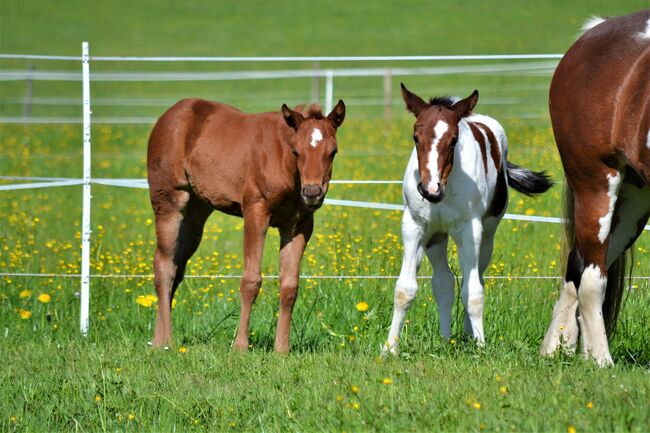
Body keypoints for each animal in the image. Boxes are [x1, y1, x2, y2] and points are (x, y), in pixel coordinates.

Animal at [147, 97, 344, 352]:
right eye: (296, 151)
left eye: (333, 152)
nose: (312, 193)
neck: (282, 162)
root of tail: (169, 115)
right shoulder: (255, 213)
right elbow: (250, 280)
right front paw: (240, 346)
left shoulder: (299, 226)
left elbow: (290, 285)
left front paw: (282, 350)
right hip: (169, 201)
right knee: (164, 266)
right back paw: (167, 341)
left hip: (195, 216)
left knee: (175, 266)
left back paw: (157, 340)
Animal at [382, 84, 548, 354]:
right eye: (416, 137)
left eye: (453, 140)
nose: (430, 189)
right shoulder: (414, 227)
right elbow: (405, 289)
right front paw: (389, 349)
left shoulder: (470, 230)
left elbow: (473, 292)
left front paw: (480, 346)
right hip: (436, 237)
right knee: (444, 282)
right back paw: (445, 338)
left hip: (487, 236)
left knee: (475, 278)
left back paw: (470, 335)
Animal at [536, 10, 648, 364]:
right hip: (596, 184)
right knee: (590, 277)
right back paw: (600, 360)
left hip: (634, 201)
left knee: (577, 268)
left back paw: (560, 348)